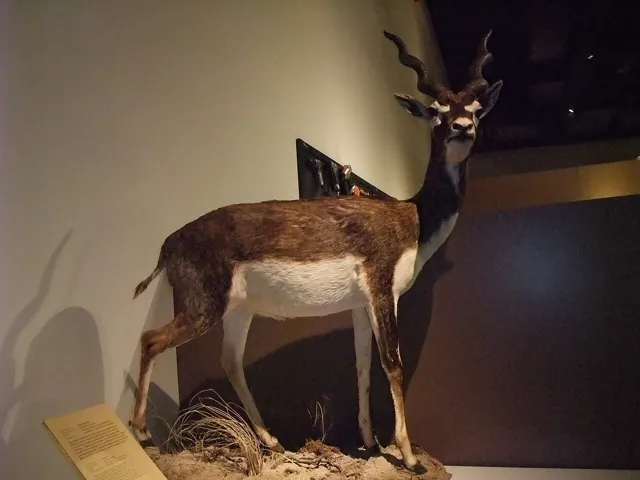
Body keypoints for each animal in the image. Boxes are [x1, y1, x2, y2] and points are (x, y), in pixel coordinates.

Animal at [129, 29, 502, 471]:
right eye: (434, 110)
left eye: (476, 110)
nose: (462, 128)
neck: (413, 217)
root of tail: (168, 243)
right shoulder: (382, 290)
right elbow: (393, 363)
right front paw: (410, 457)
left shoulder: (361, 303)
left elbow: (362, 364)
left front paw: (369, 442)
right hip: (203, 306)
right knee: (151, 339)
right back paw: (142, 433)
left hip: (239, 310)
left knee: (230, 359)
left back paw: (271, 440)